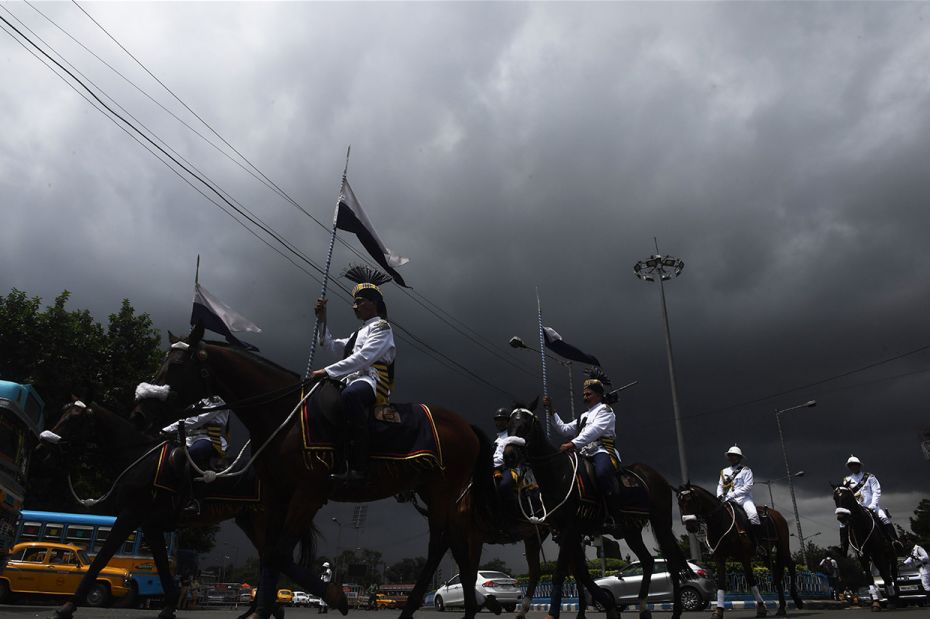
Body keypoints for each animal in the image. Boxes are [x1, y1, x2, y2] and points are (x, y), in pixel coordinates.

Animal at [37, 400, 340, 619]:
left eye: (73, 420)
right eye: (61, 415)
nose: (42, 448)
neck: (138, 458)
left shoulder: (130, 515)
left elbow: (102, 557)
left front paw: (69, 605)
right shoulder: (150, 524)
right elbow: (160, 562)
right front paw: (169, 605)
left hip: (262, 516)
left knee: (272, 557)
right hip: (250, 519)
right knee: (270, 556)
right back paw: (266, 608)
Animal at [131, 324, 492, 619]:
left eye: (177, 365)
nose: (139, 414)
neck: (282, 415)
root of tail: (466, 426)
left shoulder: (309, 492)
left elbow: (279, 553)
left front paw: (334, 596)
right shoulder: (276, 492)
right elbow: (270, 554)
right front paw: (263, 611)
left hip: (442, 490)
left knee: (439, 545)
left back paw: (414, 609)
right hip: (431, 492)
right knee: (456, 545)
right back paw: (464, 610)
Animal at [500, 406, 688, 619]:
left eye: (524, 425)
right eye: (509, 425)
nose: (509, 456)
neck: (558, 473)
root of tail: (657, 477)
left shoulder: (570, 529)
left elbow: (561, 572)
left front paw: (554, 613)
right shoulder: (568, 532)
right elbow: (580, 572)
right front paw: (605, 605)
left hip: (661, 523)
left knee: (671, 562)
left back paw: (675, 611)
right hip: (631, 530)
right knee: (647, 561)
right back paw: (642, 607)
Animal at [676, 484, 796, 619]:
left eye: (691, 500)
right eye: (679, 503)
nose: (690, 526)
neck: (720, 522)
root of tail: (775, 513)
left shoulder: (744, 556)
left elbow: (751, 580)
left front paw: (761, 608)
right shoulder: (719, 557)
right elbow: (721, 583)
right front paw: (718, 611)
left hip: (783, 545)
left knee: (791, 564)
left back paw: (797, 601)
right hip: (766, 554)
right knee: (776, 573)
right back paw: (781, 607)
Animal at [832, 484, 896, 612]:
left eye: (847, 496)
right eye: (835, 498)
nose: (841, 517)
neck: (860, 526)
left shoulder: (877, 553)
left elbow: (886, 574)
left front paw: (891, 600)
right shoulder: (862, 555)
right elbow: (869, 577)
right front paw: (875, 603)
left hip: (890, 555)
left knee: (892, 575)